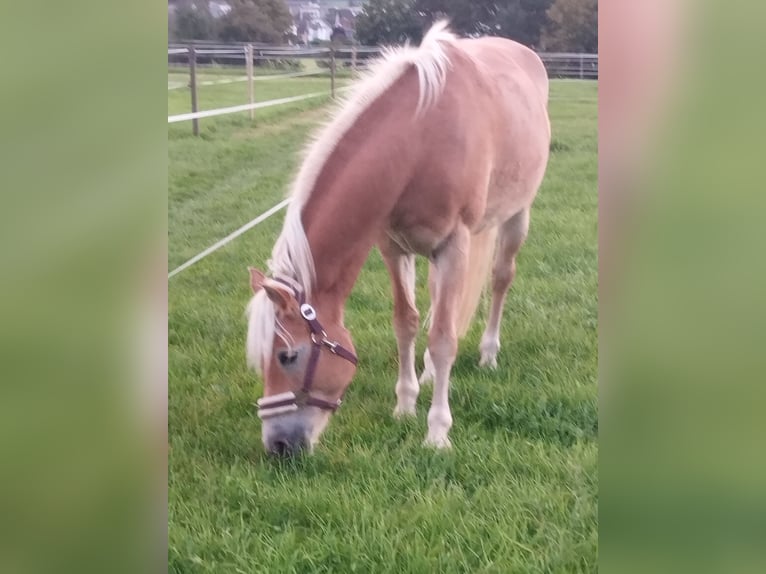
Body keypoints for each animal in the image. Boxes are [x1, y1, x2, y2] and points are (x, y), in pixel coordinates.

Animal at [248, 21, 552, 460]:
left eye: (288, 355)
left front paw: (437, 432)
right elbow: (405, 323)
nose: (278, 446)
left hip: (515, 216)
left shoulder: (454, 245)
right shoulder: (393, 247)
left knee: (500, 279)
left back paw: (488, 354)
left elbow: (443, 338)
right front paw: (405, 405)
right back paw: (427, 374)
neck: (422, 139)